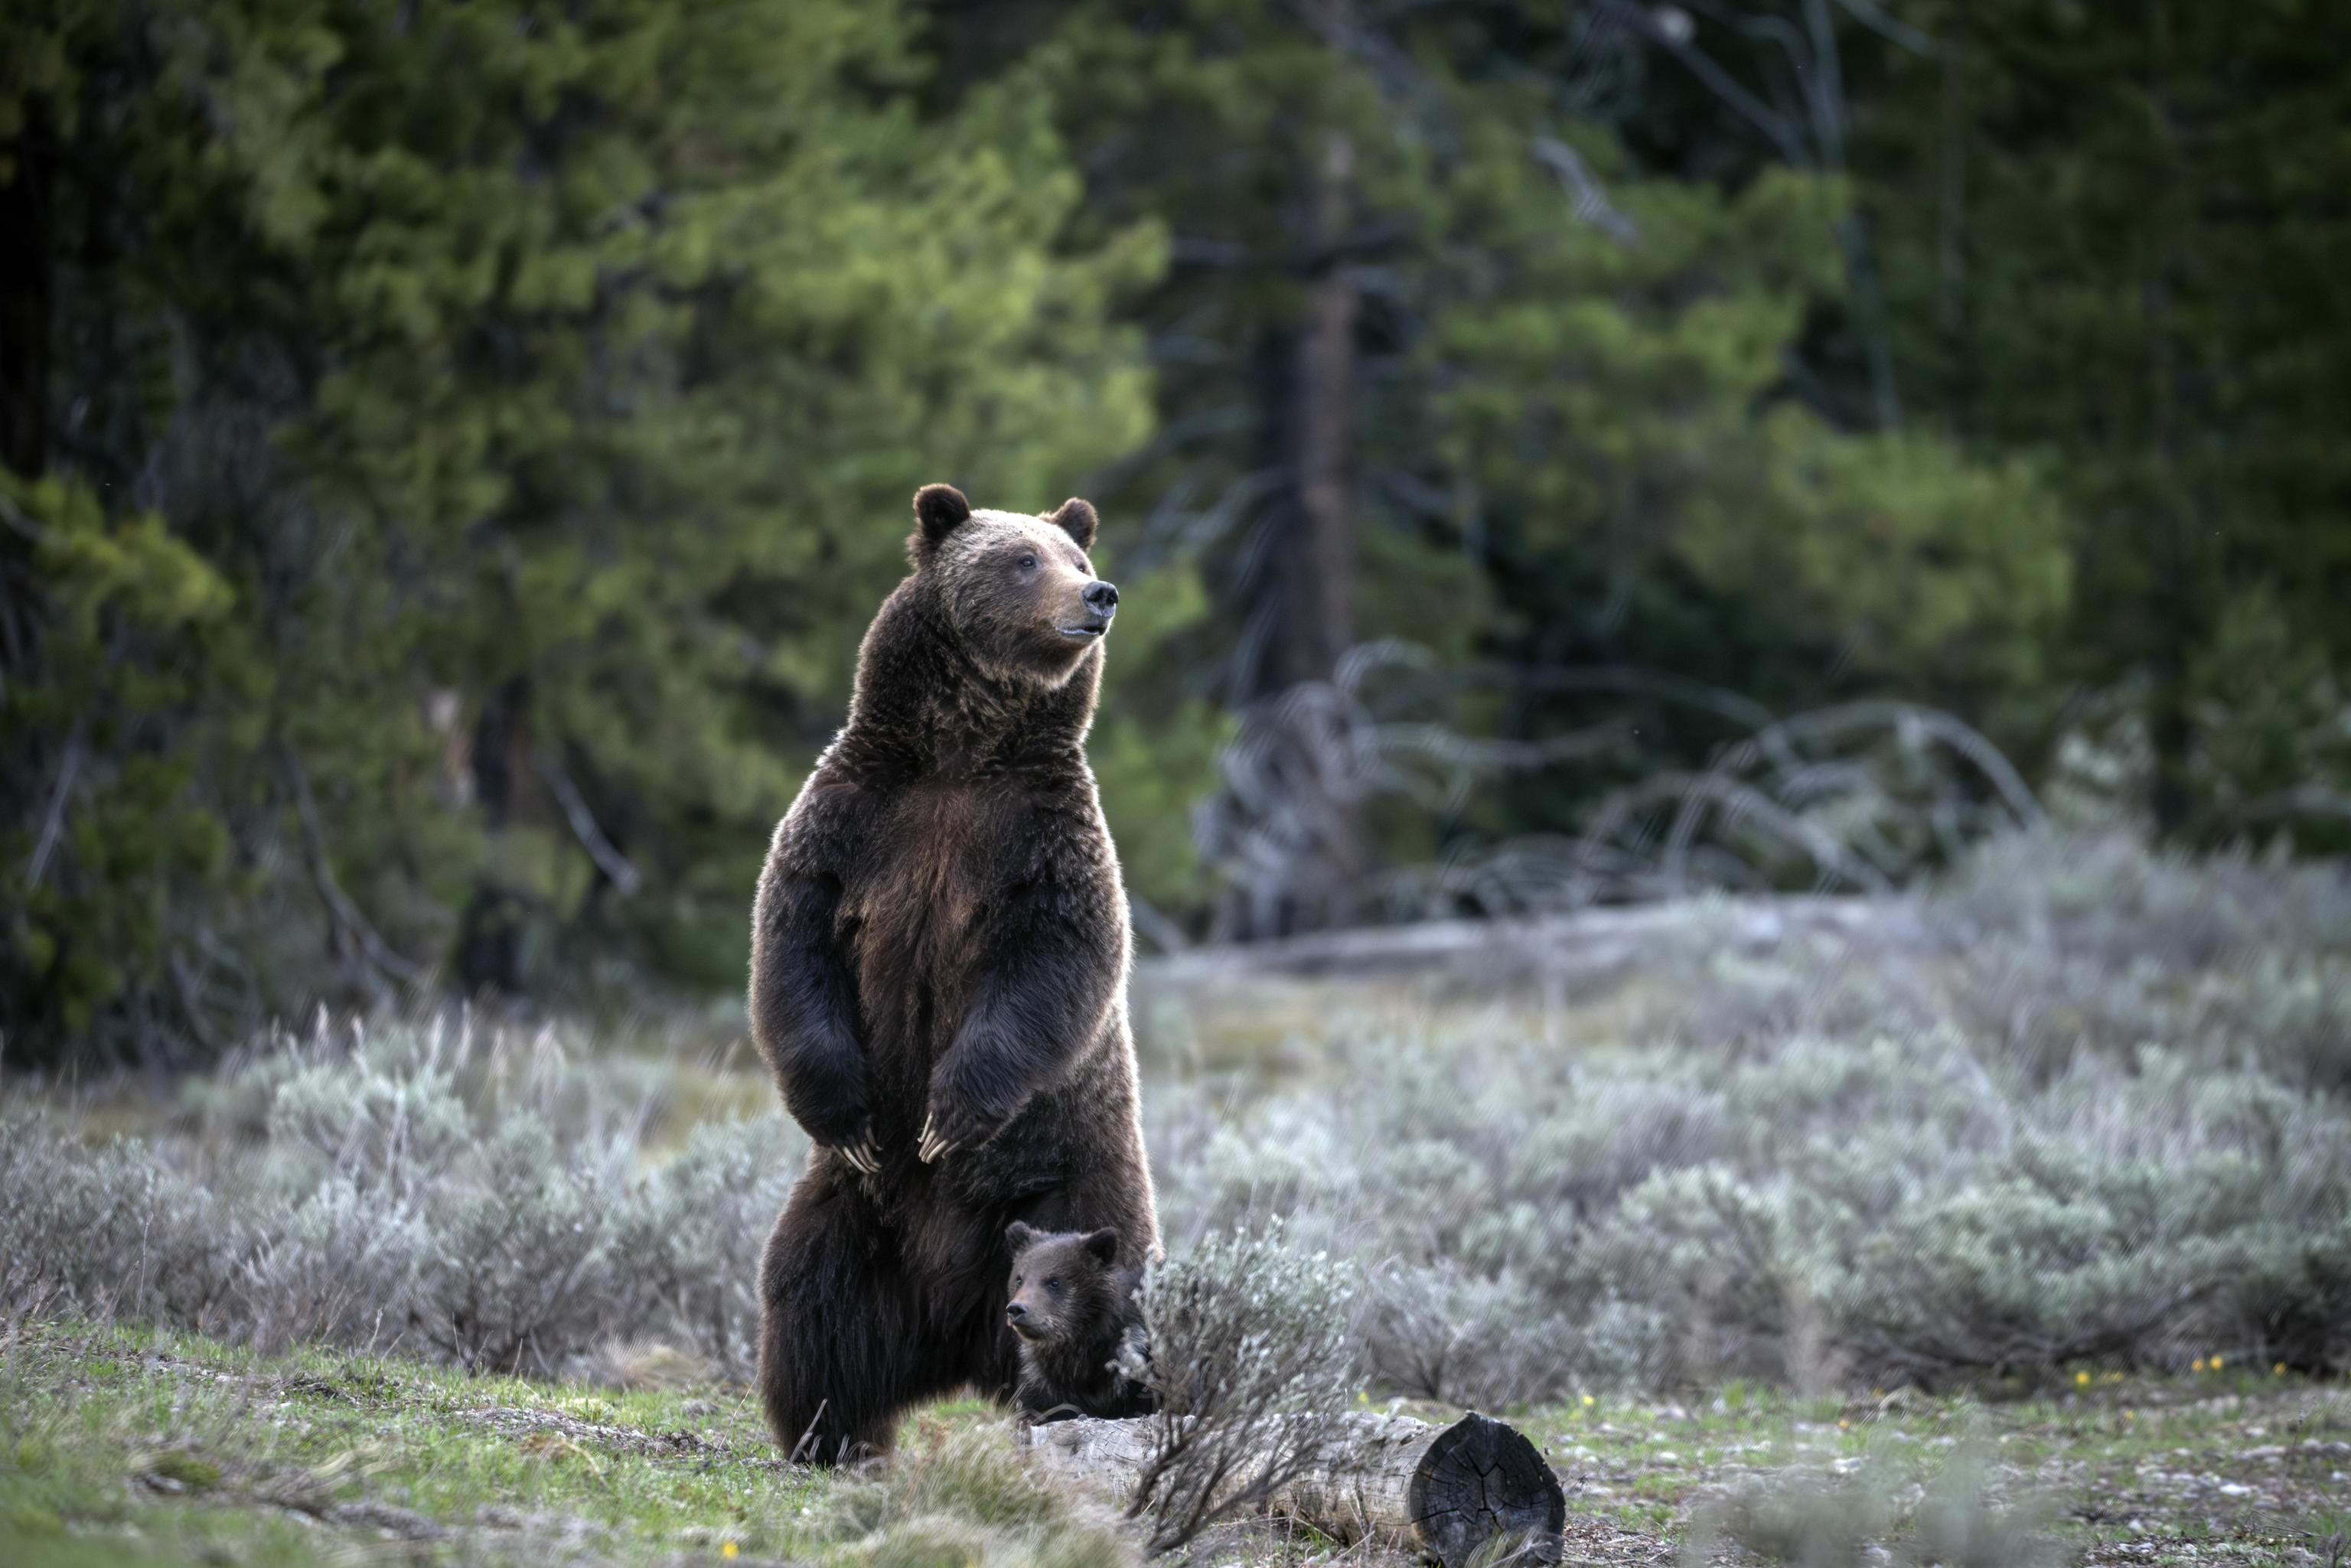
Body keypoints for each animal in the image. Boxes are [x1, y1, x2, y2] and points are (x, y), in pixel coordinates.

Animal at [752, 484, 1156, 1466]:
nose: (1100, 597)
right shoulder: (855, 822)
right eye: (1024, 559)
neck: (961, 753)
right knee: (812, 1304)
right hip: (856, 1217)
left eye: (1078, 558)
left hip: (1074, 1189)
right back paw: (829, 1434)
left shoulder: (1043, 842)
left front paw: (950, 1114)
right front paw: (849, 1113)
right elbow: (794, 949)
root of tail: (956, 1332)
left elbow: (1054, 967)